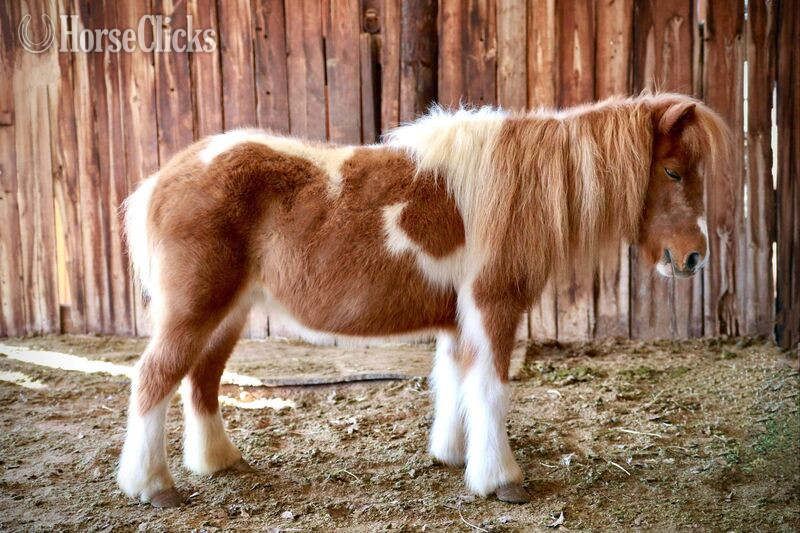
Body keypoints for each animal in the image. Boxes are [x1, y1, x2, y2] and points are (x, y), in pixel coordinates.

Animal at [117, 92, 729, 507]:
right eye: (673, 171)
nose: (694, 257)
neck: (518, 188)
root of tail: (163, 179)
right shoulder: (493, 307)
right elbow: (490, 388)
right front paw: (501, 480)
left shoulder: (458, 318)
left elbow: (455, 380)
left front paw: (454, 456)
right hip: (195, 311)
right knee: (154, 379)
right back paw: (152, 486)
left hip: (229, 313)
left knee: (200, 381)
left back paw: (217, 463)